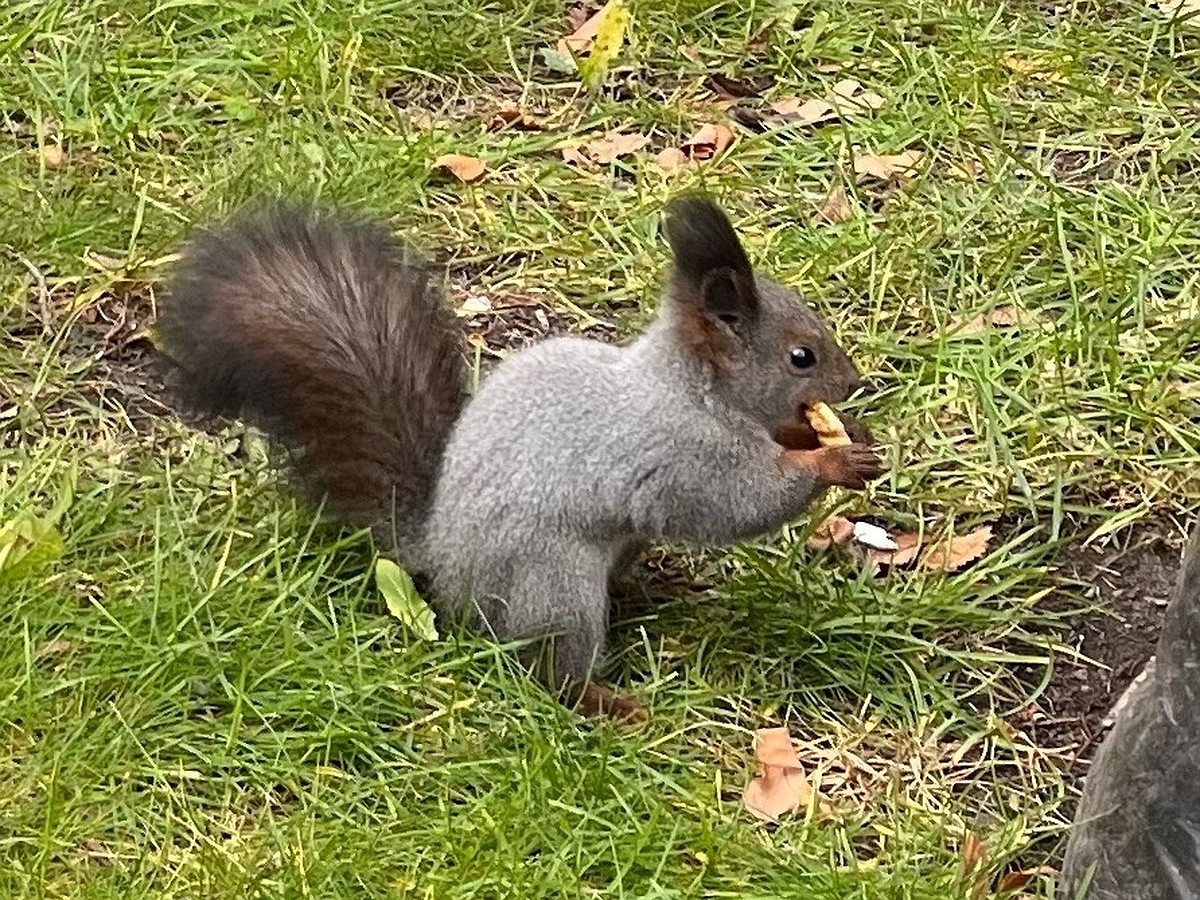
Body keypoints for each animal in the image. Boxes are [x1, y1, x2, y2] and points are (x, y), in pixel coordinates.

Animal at [159, 194, 888, 724]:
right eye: (801, 357)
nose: (855, 384)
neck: (692, 389)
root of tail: (441, 560)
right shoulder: (681, 452)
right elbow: (736, 503)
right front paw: (833, 464)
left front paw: (841, 434)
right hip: (552, 582)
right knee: (545, 668)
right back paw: (605, 702)